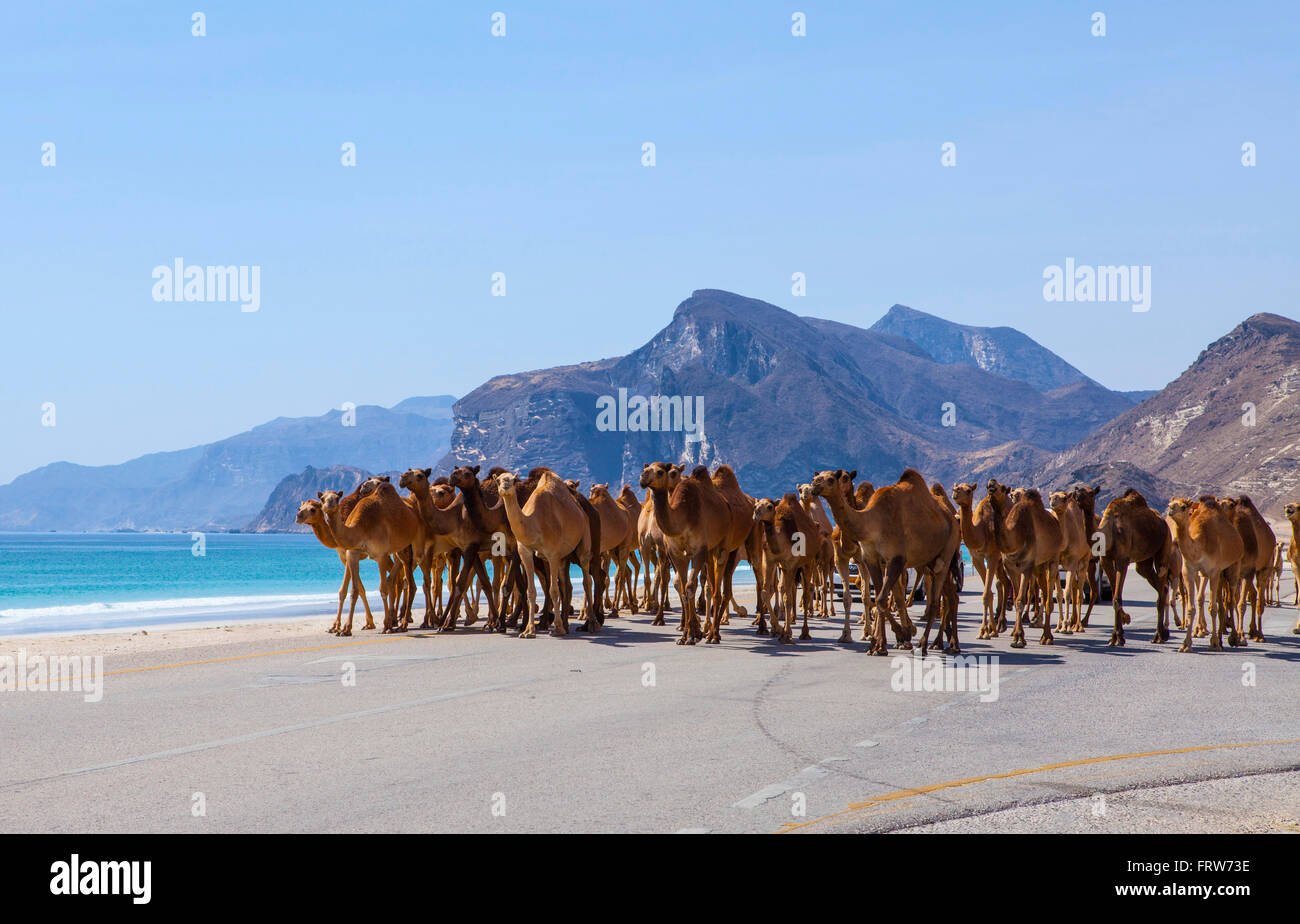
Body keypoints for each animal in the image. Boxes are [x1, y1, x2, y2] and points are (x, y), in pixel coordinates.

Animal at [493, 465, 595, 639]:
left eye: (514, 480)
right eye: (498, 480)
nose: (505, 486)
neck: (534, 523)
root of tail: (581, 511)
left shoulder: (553, 554)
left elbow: (553, 590)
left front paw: (557, 629)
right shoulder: (525, 551)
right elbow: (531, 591)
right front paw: (528, 631)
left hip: (584, 539)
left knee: (586, 580)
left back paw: (592, 625)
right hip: (562, 558)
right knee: (566, 585)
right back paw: (565, 625)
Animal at [1164, 496, 1242, 654]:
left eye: (1183, 507)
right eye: (1170, 504)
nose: (1170, 510)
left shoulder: (1214, 571)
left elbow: (1213, 608)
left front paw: (1215, 643)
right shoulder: (1189, 570)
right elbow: (1191, 607)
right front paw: (1186, 644)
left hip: (1234, 566)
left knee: (1231, 600)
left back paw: (1234, 638)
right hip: (1206, 574)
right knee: (1209, 599)